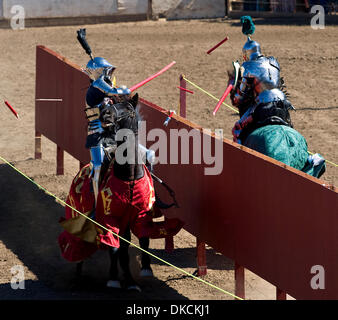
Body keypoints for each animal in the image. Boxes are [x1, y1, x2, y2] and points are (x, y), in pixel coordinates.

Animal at [59, 94, 184, 292]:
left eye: (130, 110)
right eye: (112, 106)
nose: (106, 114)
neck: (129, 177)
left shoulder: (140, 214)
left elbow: (142, 240)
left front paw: (140, 274)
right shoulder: (110, 217)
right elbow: (114, 246)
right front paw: (114, 279)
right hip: (77, 214)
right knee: (80, 241)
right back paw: (79, 272)